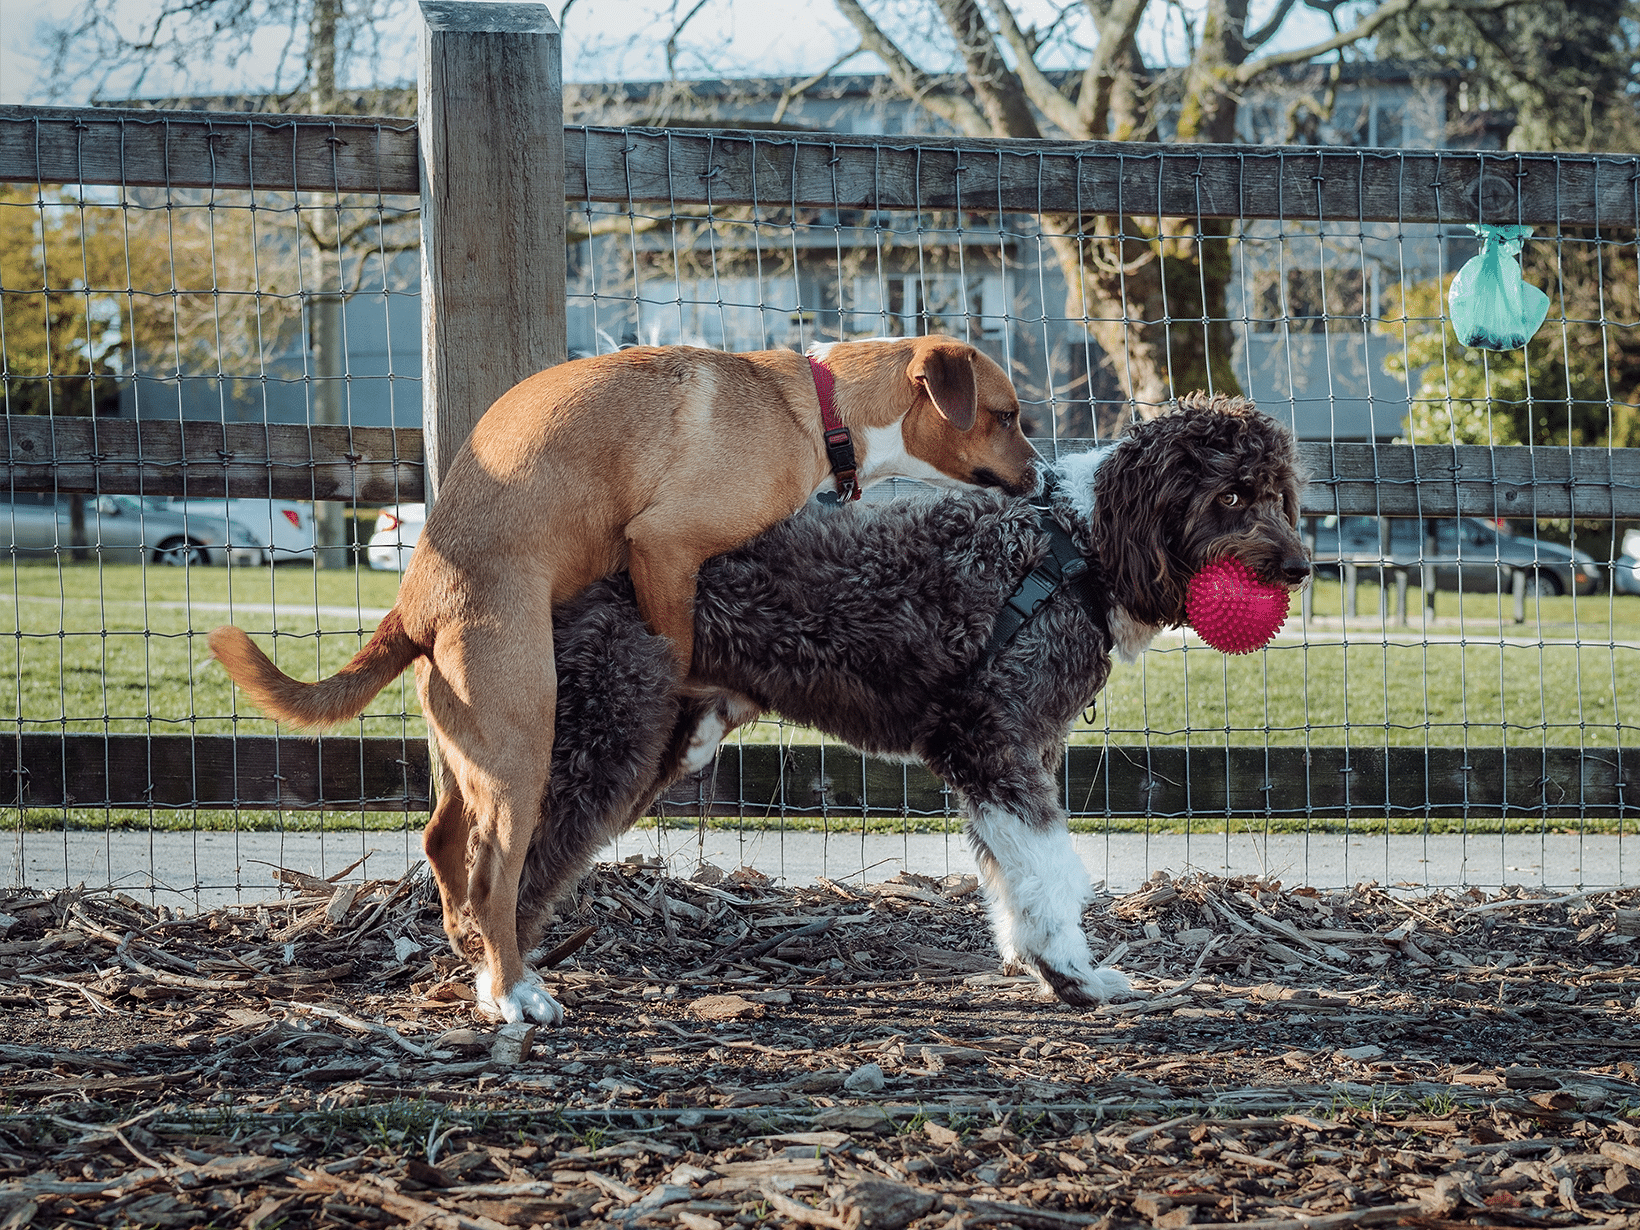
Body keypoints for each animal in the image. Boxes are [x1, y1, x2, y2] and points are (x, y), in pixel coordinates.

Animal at [208, 332, 1036, 1023]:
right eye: (1006, 414)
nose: (1040, 477)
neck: (816, 407)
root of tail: (416, 604)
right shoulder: (664, 546)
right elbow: (680, 653)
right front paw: (690, 715)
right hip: (522, 747)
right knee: (496, 875)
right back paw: (512, 991)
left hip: (470, 749)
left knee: (442, 839)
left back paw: (467, 944)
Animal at [488, 396, 1305, 1023]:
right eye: (1231, 496)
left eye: (1277, 493)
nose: (1301, 567)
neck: (1081, 548)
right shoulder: (991, 742)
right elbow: (1049, 870)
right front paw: (1071, 974)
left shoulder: (1016, 753)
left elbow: (1009, 872)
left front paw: (1032, 960)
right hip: (605, 726)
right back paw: (509, 988)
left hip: (654, 737)